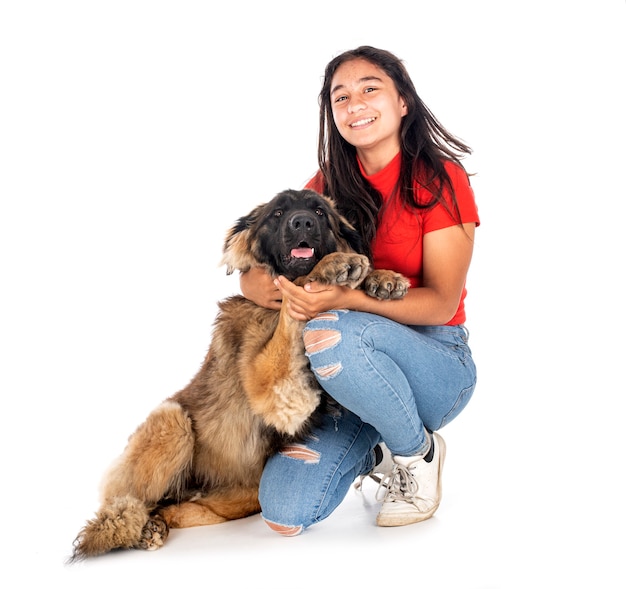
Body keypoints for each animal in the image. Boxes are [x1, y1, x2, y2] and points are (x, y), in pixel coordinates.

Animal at [68, 188, 410, 560]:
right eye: (277, 214)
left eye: (319, 211)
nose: (303, 222)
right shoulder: (273, 387)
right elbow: (296, 285)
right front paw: (333, 265)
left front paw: (381, 277)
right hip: (172, 420)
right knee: (128, 503)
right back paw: (135, 526)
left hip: (240, 495)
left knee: (174, 508)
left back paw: (155, 525)